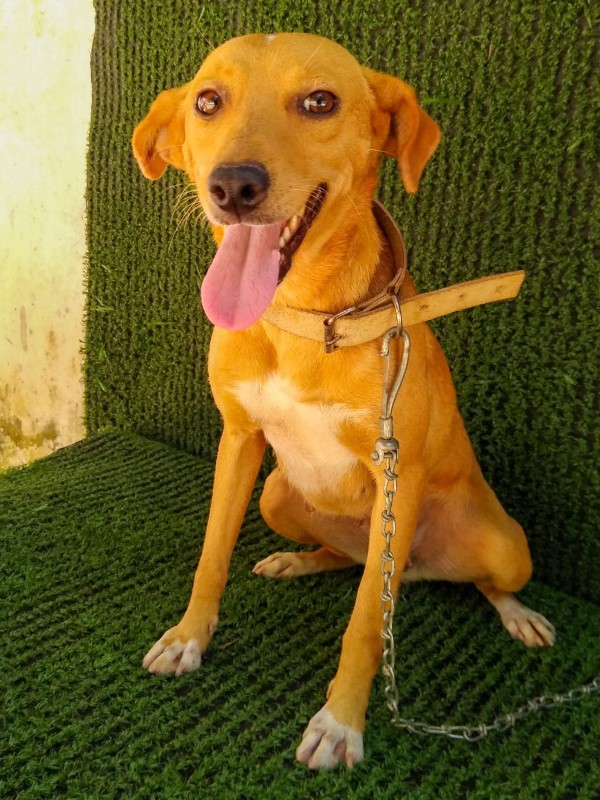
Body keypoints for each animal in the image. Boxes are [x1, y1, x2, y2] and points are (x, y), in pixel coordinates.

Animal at [132, 33, 555, 769]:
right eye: (207, 101)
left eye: (319, 101)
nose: (233, 185)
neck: (305, 320)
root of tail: (413, 571)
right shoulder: (239, 439)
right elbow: (211, 555)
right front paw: (189, 637)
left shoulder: (397, 471)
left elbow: (363, 625)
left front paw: (341, 722)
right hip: (279, 496)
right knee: (351, 561)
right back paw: (296, 560)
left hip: (503, 544)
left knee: (469, 581)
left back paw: (518, 614)